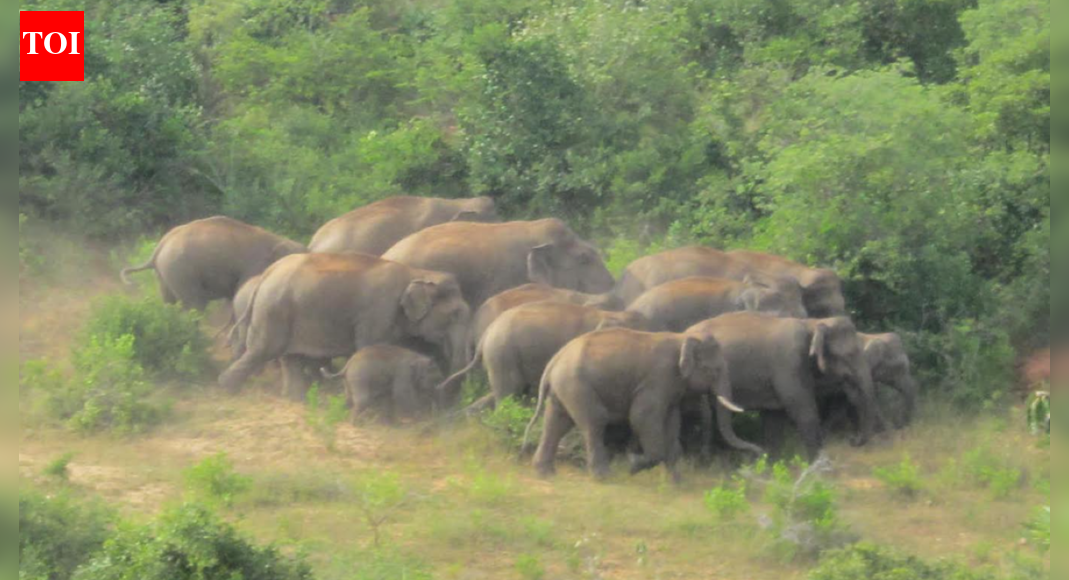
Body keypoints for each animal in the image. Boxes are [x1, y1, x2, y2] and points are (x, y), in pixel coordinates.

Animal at [121, 216, 307, 310]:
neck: (278, 239)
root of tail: (159, 246)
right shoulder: (254, 266)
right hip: (180, 270)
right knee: (195, 304)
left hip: (166, 273)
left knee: (169, 303)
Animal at [219, 252, 471, 400]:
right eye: (455, 314)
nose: (443, 391)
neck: (416, 273)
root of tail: (268, 273)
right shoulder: (377, 313)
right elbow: (370, 347)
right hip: (274, 310)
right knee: (263, 351)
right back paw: (227, 390)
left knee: (289, 358)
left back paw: (296, 398)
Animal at [525, 328, 763, 481]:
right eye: (713, 370)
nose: (760, 454)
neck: (682, 338)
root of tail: (554, 360)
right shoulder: (658, 379)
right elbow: (642, 417)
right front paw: (633, 466)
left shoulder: (671, 388)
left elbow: (672, 423)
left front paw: (677, 484)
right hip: (577, 385)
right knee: (594, 421)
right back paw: (604, 477)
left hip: (563, 388)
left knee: (556, 422)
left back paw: (545, 473)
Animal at [685, 312, 880, 460]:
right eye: (849, 355)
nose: (852, 440)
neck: (813, 323)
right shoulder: (789, 363)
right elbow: (803, 410)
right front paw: (819, 471)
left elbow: (774, 419)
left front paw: (773, 467)